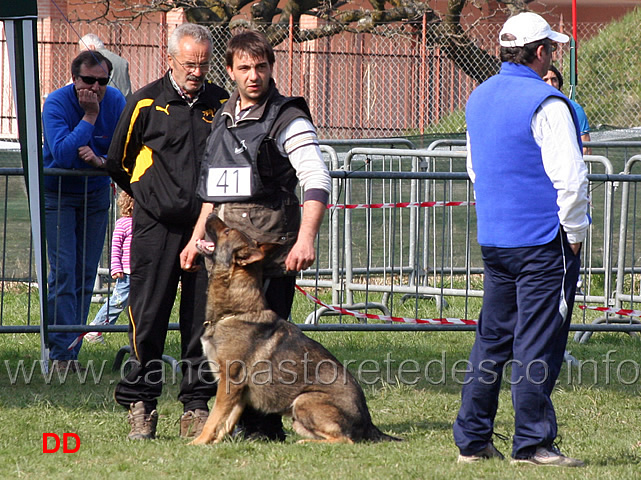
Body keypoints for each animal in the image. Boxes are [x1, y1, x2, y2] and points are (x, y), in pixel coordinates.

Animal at [190, 216, 400, 444]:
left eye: (227, 231)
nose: (208, 216)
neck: (236, 311)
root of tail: (369, 423)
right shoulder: (238, 394)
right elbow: (226, 423)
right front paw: (214, 443)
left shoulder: (229, 384)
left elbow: (214, 419)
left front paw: (197, 443)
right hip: (297, 418)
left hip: (302, 400)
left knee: (346, 440)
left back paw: (306, 442)